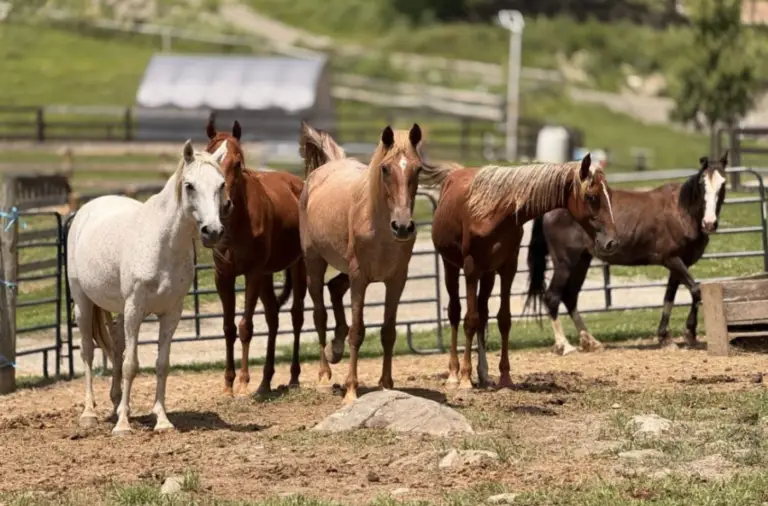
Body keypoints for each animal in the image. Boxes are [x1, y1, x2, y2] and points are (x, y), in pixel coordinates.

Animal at [67, 140, 227, 435]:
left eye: (221, 185)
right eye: (189, 185)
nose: (213, 232)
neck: (161, 244)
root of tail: (88, 208)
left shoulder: (171, 313)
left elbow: (161, 364)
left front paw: (161, 420)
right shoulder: (135, 309)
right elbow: (131, 365)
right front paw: (122, 426)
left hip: (118, 311)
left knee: (116, 347)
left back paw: (117, 403)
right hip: (83, 303)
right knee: (87, 351)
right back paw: (89, 413)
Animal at [204, 119, 308, 396]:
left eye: (238, 163)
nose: (224, 205)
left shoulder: (251, 274)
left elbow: (245, 327)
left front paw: (242, 382)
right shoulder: (223, 276)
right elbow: (228, 328)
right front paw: (228, 384)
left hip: (299, 266)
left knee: (297, 316)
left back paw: (294, 378)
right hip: (267, 275)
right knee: (273, 316)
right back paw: (265, 382)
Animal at [299, 121, 438, 404]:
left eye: (418, 168)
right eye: (385, 168)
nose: (403, 227)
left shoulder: (396, 280)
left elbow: (388, 331)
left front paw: (386, 384)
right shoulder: (360, 278)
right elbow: (358, 331)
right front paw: (351, 389)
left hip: (345, 268)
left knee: (335, 288)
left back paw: (335, 348)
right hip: (315, 262)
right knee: (319, 313)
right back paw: (324, 373)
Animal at [425, 154, 619, 390]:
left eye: (609, 194)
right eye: (591, 197)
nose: (612, 242)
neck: (496, 211)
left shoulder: (507, 268)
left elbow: (503, 319)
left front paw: (505, 378)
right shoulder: (471, 270)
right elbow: (469, 320)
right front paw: (465, 379)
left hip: (488, 275)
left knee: (483, 313)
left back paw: (484, 375)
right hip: (451, 267)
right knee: (455, 312)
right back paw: (454, 374)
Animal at [525, 152, 729, 353]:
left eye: (723, 184)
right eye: (702, 185)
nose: (709, 223)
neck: (681, 212)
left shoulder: (680, 264)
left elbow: (669, 297)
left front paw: (666, 337)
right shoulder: (672, 260)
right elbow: (695, 290)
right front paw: (689, 333)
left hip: (582, 260)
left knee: (570, 296)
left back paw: (590, 341)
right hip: (565, 263)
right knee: (552, 297)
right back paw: (564, 345)